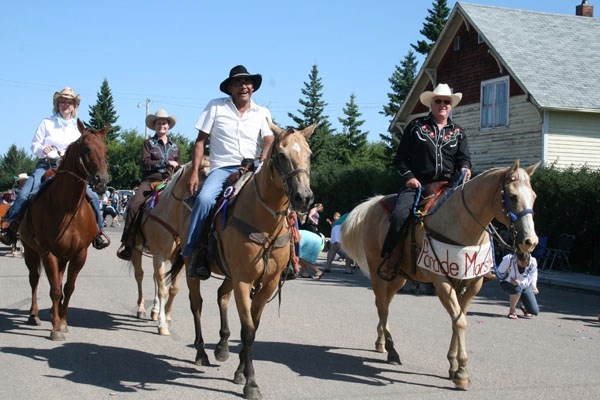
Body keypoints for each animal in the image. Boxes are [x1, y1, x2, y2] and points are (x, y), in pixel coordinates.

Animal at [19, 119, 109, 340]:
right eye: (86, 149)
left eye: (106, 150)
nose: (101, 180)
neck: (67, 209)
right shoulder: (47, 252)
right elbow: (54, 289)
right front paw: (55, 329)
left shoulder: (79, 254)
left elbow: (68, 287)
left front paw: (63, 321)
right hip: (31, 251)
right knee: (34, 280)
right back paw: (34, 315)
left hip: (62, 256)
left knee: (58, 279)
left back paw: (55, 313)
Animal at [129, 159, 209, 334]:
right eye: (205, 173)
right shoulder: (159, 256)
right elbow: (163, 289)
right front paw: (162, 324)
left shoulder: (178, 259)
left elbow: (172, 289)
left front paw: (166, 316)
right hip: (137, 250)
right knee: (139, 275)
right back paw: (141, 309)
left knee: (155, 278)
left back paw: (154, 311)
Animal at [170, 122, 314, 400]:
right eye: (281, 155)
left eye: (309, 154)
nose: (303, 197)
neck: (265, 223)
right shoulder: (244, 280)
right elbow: (247, 330)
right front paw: (251, 383)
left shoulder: (268, 282)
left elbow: (253, 328)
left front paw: (240, 372)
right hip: (196, 269)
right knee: (197, 305)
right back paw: (202, 352)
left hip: (229, 274)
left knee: (221, 296)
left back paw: (222, 346)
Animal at [340, 160, 540, 390]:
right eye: (513, 196)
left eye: (534, 196)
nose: (530, 241)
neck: (460, 225)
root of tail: (373, 204)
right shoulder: (441, 281)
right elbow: (461, 322)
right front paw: (462, 372)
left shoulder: (472, 284)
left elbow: (458, 319)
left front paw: (453, 366)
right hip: (378, 272)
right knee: (382, 307)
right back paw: (391, 349)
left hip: (398, 277)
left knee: (384, 305)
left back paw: (381, 343)